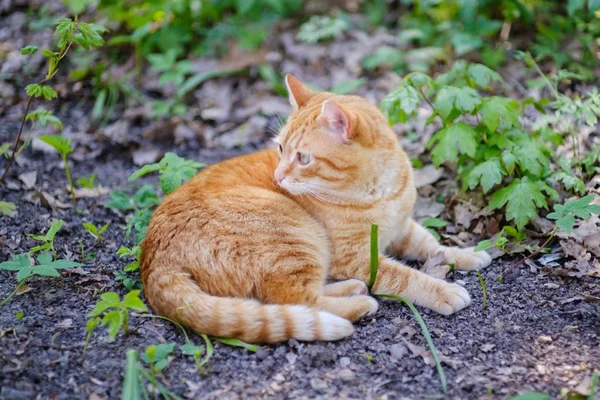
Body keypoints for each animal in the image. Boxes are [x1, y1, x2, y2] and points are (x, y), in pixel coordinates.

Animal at [142, 75, 492, 344]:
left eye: (303, 157)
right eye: (280, 148)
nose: (277, 177)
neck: (381, 192)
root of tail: (154, 261)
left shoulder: (402, 228)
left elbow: (433, 246)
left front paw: (466, 254)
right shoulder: (359, 258)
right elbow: (404, 276)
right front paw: (442, 290)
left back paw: (349, 289)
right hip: (295, 238)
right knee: (295, 299)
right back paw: (358, 303)